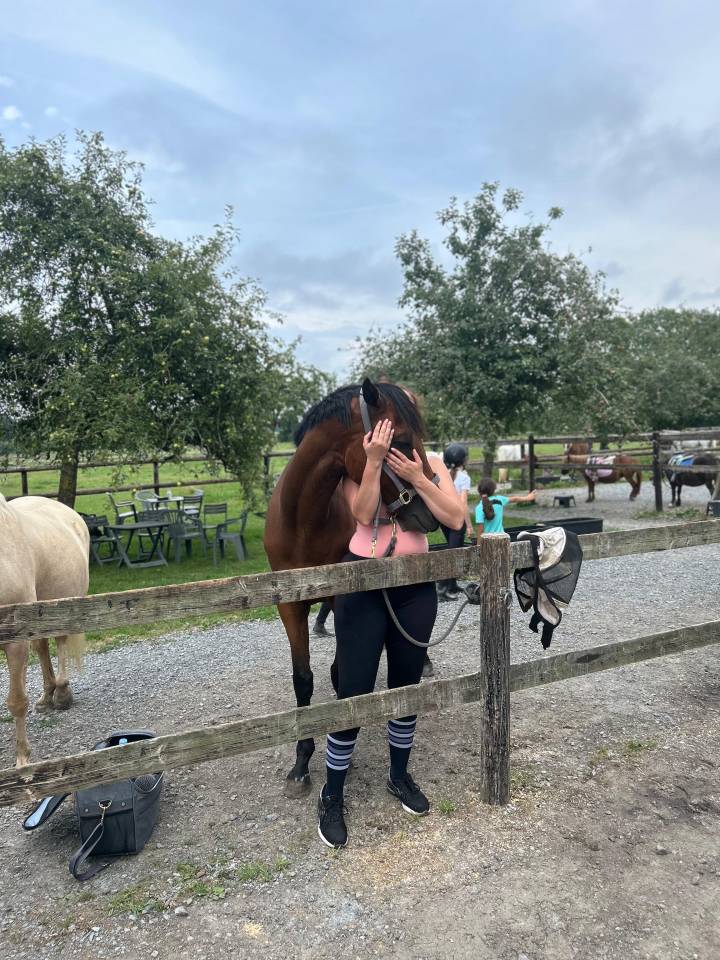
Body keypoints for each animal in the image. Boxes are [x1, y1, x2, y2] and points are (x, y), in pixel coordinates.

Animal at [1, 493, 89, 766]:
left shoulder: (15, 640)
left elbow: (17, 701)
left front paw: (23, 761)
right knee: (41, 646)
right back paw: (48, 694)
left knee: (59, 642)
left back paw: (61, 693)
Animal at [263, 378, 436, 798]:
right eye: (401, 441)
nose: (430, 512)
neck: (305, 521)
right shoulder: (289, 606)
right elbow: (304, 680)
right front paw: (301, 763)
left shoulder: (343, 597)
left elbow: (341, 674)